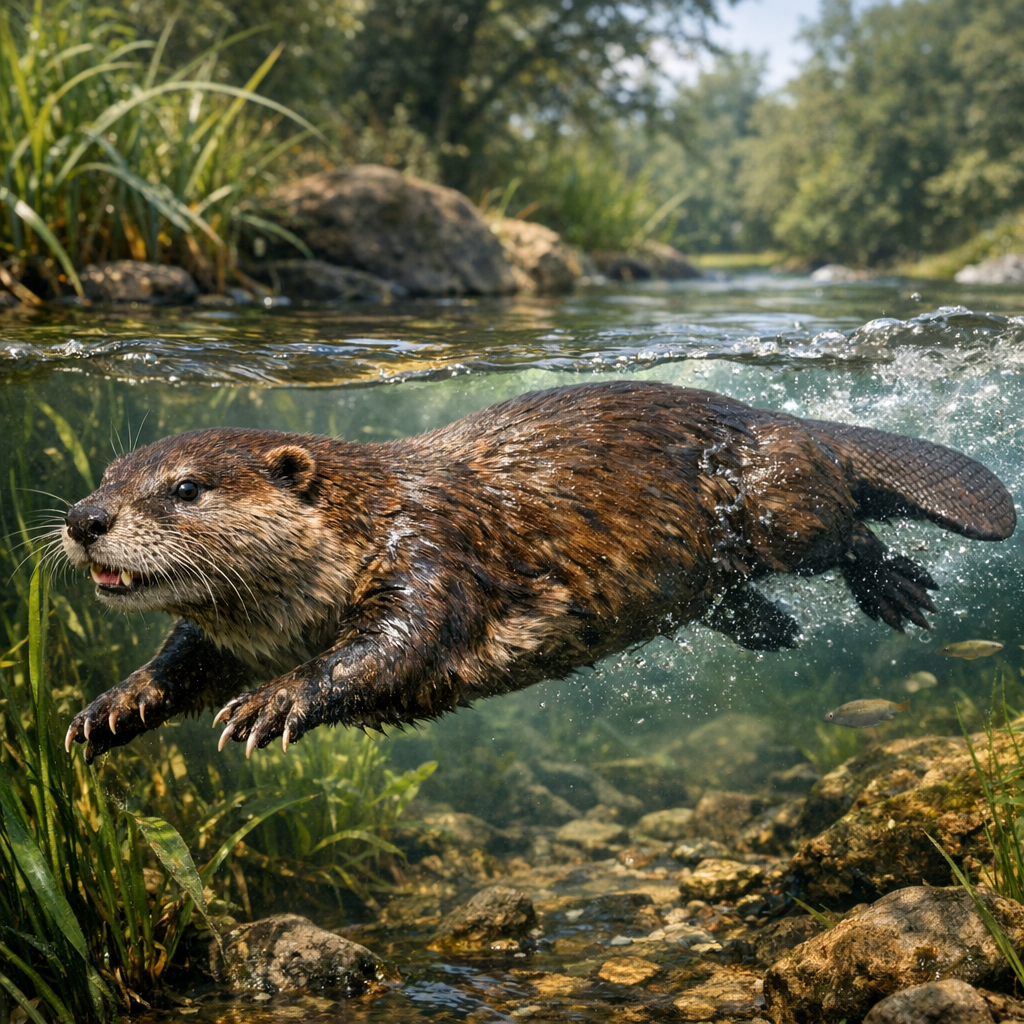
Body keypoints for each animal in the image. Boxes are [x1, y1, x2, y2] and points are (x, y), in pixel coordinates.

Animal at [61, 381, 1016, 763]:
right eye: (106, 475)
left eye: (185, 488)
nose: (84, 520)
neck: (372, 510)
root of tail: (784, 417)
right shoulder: (237, 629)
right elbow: (187, 657)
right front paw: (106, 711)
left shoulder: (427, 551)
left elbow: (392, 644)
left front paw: (273, 702)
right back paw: (771, 627)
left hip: (777, 499)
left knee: (845, 529)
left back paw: (895, 589)